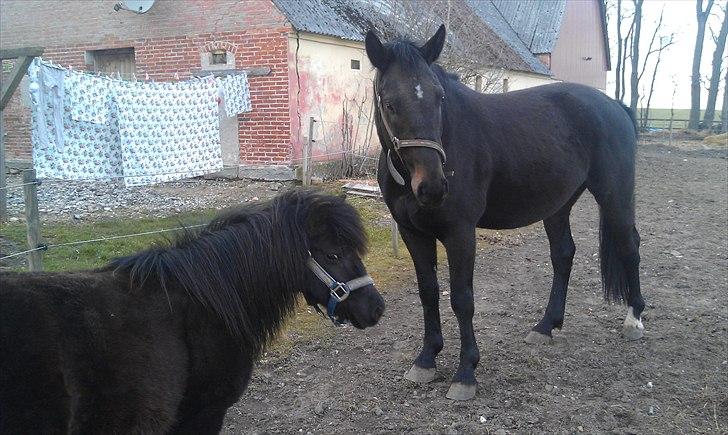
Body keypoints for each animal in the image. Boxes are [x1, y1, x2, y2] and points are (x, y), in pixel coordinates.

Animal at [365, 25, 644, 401]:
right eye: (390, 102)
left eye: (439, 97)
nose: (434, 187)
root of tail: (614, 105)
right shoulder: (413, 233)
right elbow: (428, 293)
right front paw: (426, 360)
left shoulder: (460, 233)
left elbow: (462, 299)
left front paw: (465, 373)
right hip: (558, 205)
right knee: (564, 255)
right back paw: (546, 326)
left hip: (614, 196)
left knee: (629, 247)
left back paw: (634, 319)